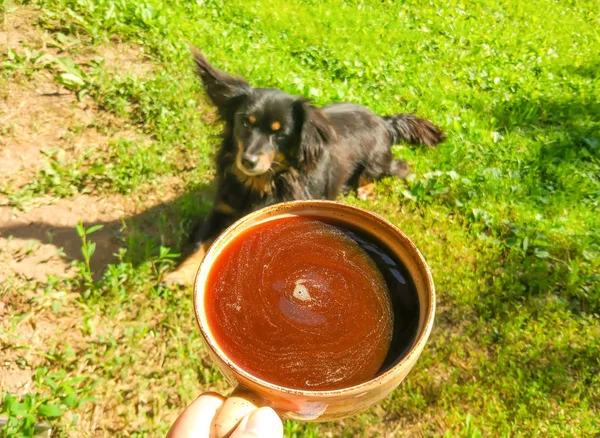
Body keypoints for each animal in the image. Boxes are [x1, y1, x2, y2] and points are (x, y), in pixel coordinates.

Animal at [162, 48, 442, 286]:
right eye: (245, 123)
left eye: (280, 134)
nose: (248, 161)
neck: (262, 182)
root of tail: (384, 122)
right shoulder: (221, 209)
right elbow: (200, 243)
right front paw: (179, 274)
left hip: (376, 163)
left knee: (397, 167)